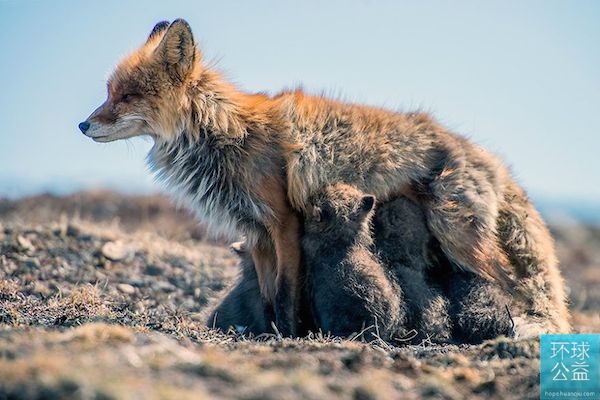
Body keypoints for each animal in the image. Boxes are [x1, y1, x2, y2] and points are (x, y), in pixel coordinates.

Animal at [79, 20, 572, 336]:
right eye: (108, 92)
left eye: (127, 96)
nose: (83, 125)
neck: (227, 135)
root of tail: (492, 159)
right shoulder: (256, 232)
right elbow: (267, 295)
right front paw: (267, 332)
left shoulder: (283, 222)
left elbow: (286, 294)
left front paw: (290, 334)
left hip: (457, 235)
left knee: (508, 283)